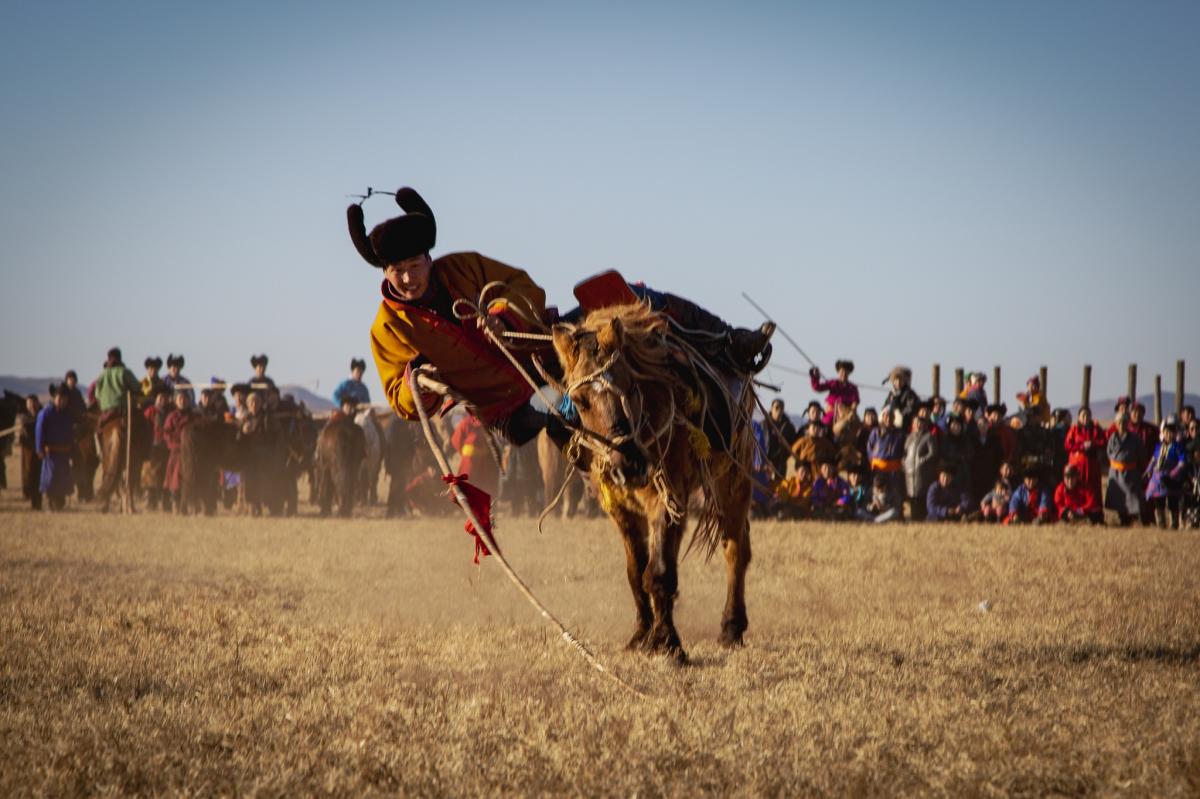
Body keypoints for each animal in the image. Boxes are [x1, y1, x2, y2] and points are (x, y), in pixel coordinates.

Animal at [549, 302, 753, 657]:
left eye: (631, 385)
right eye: (581, 401)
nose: (629, 464)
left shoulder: (667, 500)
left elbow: (658, 573)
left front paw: (667, 641)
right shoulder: (620, 510)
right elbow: (636, 572)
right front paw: (642, 634)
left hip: (732, 479)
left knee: (735, 549)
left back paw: (731, 626)